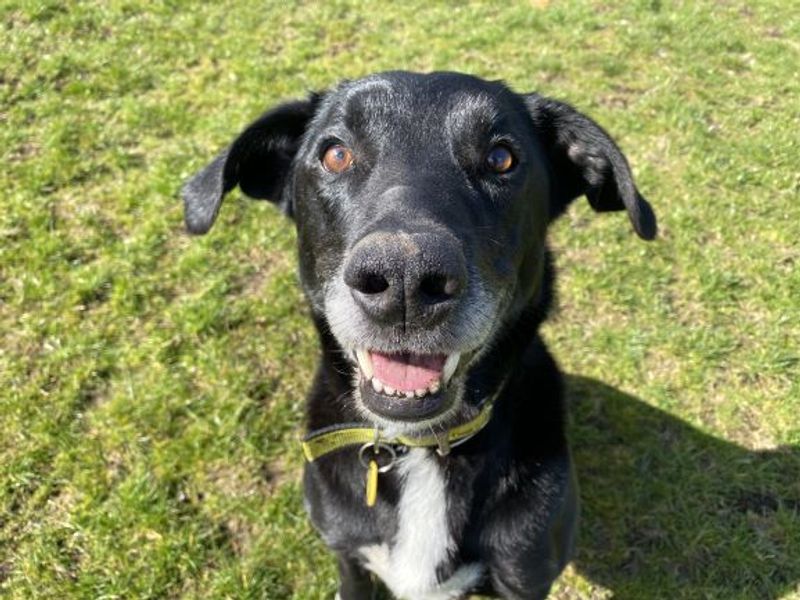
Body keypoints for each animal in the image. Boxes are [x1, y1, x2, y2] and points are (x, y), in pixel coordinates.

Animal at [183, 71, 656, 600]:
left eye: (501, 158)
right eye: (336, 154)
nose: (405, 279)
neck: (421, 449)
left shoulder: (526, 577)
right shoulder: (348, 555)